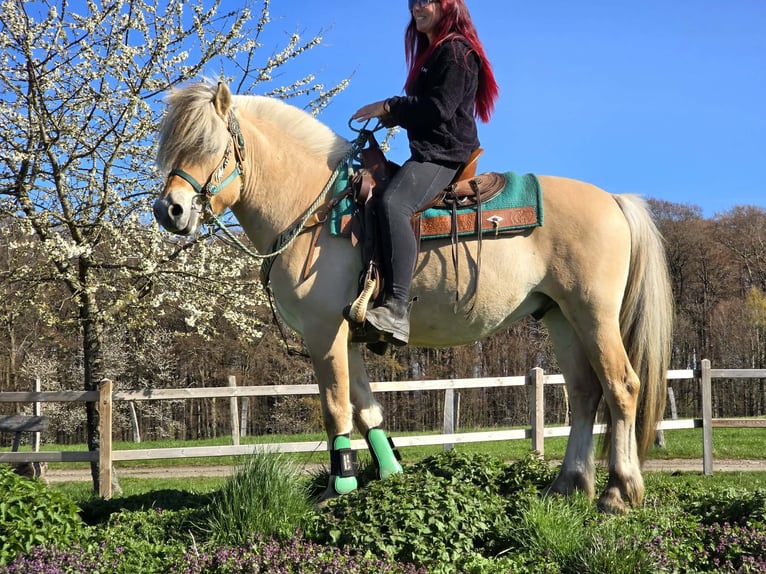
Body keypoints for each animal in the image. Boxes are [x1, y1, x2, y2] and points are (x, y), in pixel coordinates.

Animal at [152, 80, 673, 514]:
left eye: (208, 145)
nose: (168, 210)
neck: (313, 208)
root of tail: (613, 200)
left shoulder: (324, 332)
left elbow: (335, 409)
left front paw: (338, 488)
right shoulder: (348, 337)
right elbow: (367, 410)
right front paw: (389, 475)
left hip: (594, 313)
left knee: (622, 386)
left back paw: (618, 492)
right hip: (560, 317)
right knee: (585, 392)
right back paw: (567, 485)